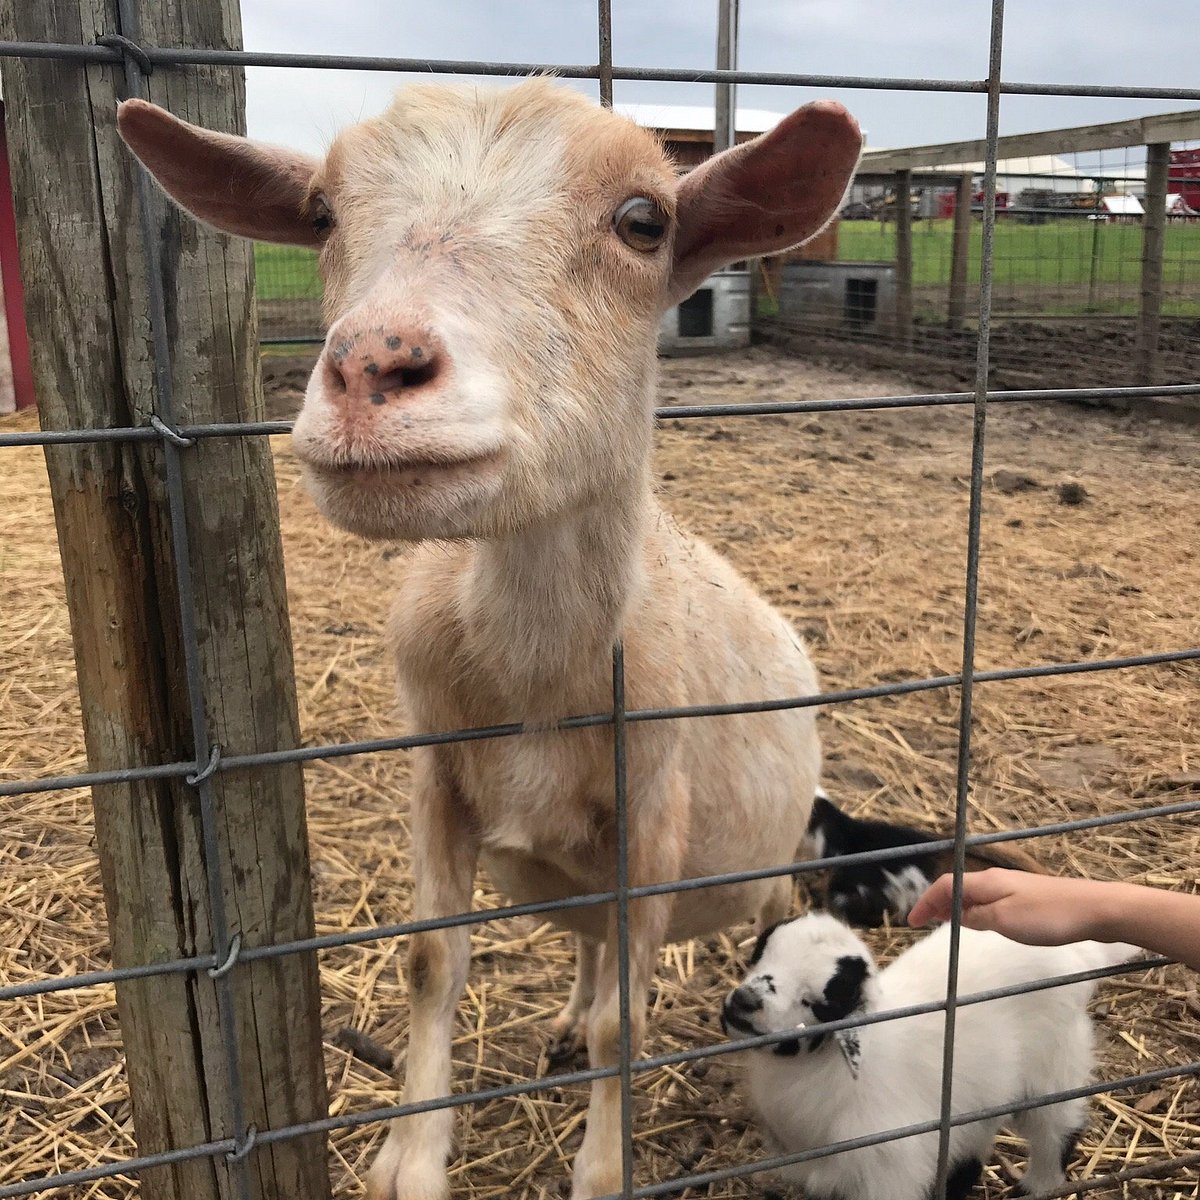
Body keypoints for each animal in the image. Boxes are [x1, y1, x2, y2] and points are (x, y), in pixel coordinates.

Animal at [119, 79, 864, 1195]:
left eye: (643, 220)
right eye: (321, 214)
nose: (371, 366)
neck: (534, 680)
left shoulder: (655, 813)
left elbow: (625, 1030)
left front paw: (600, 1172)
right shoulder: (437, 776)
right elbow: (435, 962)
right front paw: (411, 1161)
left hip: (761, 847)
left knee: (755, 917)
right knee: (592, 949)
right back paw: (561, 1022)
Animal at [720, 907, 1132, 1200]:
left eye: (817, 1002)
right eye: (760, 955)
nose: (743, 1003)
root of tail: (1079, 951)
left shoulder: (889, 1168)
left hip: (1053, 1063)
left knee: (1057, 1129)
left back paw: (1038, 1186)